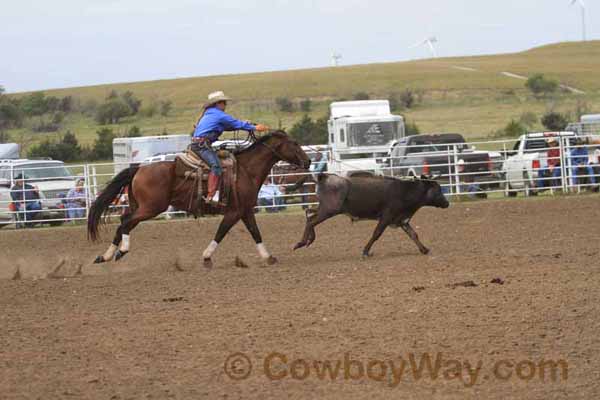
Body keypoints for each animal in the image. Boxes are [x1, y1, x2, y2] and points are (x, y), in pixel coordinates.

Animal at [89, 132, 314, 268]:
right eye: (294, 143)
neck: (245, 170)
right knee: (126, 222)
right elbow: (221, 233)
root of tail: (138, 168)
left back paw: (105, 256)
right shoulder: (234, 212)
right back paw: (121, 251)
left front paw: (269, 257)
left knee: (123, 222)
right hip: (151, 208)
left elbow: (255, 233)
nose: (308, 160)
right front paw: (206, 257)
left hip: (140, 206)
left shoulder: (246, 210)